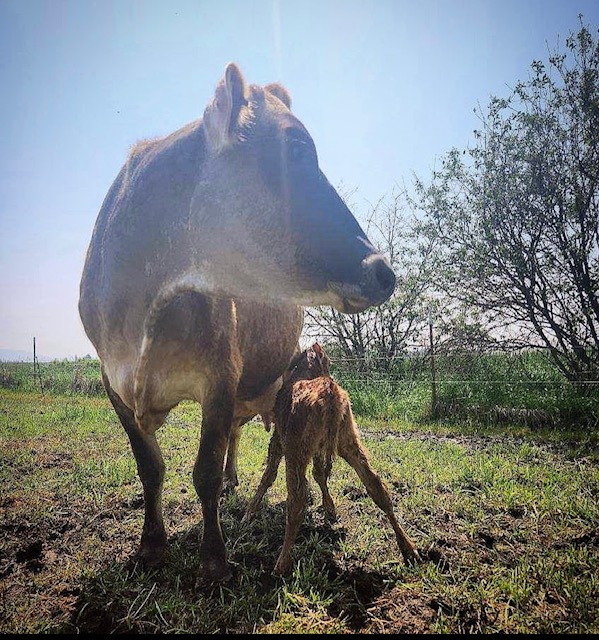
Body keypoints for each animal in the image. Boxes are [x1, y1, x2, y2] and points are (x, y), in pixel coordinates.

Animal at [79, 63, 396, 582]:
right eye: (295, 148)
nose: (385, 270)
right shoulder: (113, 380)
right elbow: (150, 467)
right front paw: (151, 545)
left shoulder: (220, 374)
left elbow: (203, 471)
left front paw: (213, 560)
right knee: (235, 434)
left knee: (238, 438)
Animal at [242, 343, 420, 576]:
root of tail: (330, 391)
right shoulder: (320, 448)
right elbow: (320, 474)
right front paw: (330, 510)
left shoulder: (279, 439)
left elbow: (269, 474)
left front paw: (249, 513)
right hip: (348, 440)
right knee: (376, 486)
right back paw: (409, 548)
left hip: (297, 450)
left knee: (297, 500)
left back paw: (282, 563)